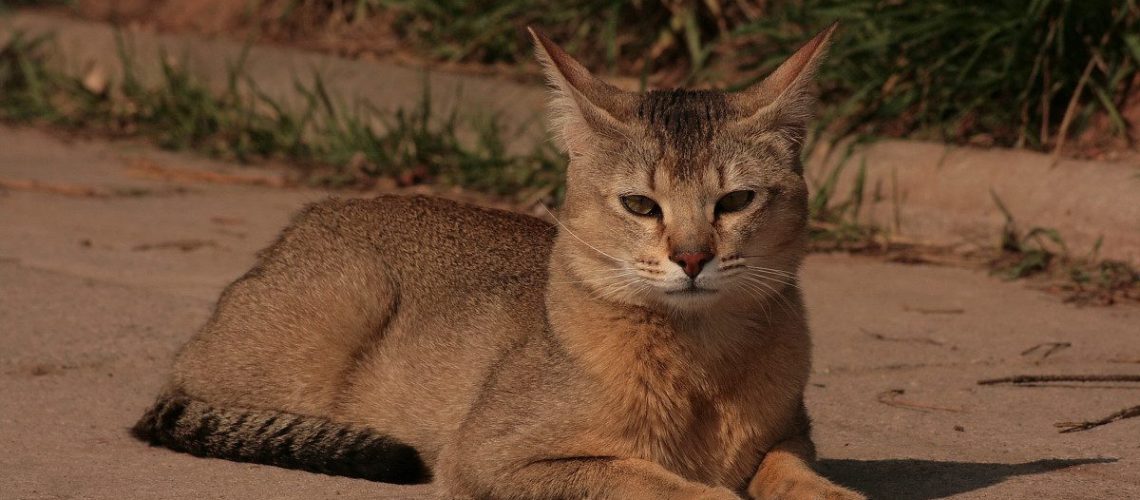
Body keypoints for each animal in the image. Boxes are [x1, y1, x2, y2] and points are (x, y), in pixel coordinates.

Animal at [133, 24, 861, 500]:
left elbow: (794, 473)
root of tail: (307, 219)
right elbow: (662, 484)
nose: (691, 258)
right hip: (341, 303)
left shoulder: (790, 437)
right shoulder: (494, 458)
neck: (701, 366)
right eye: (641, 205)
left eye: (735, 201)